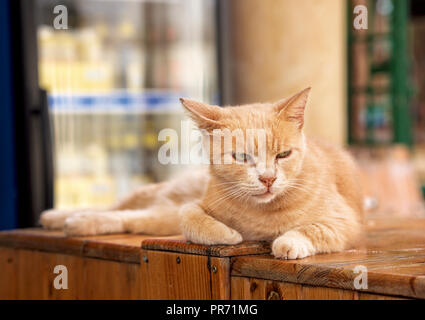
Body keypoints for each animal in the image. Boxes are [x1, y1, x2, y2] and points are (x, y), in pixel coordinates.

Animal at [41, 88, 362, 260]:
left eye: (283, 155)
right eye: (241, 157)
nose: (268, 179)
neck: (261, 213)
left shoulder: (347, 222)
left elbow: (315, 229)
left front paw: (288, 241)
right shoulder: (195, 206)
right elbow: (191, 217)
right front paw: (228, 234)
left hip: (157, 216)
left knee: (127, 216)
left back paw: (76, 222)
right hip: (162, 202)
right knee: (119, 206)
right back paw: (61, 217)